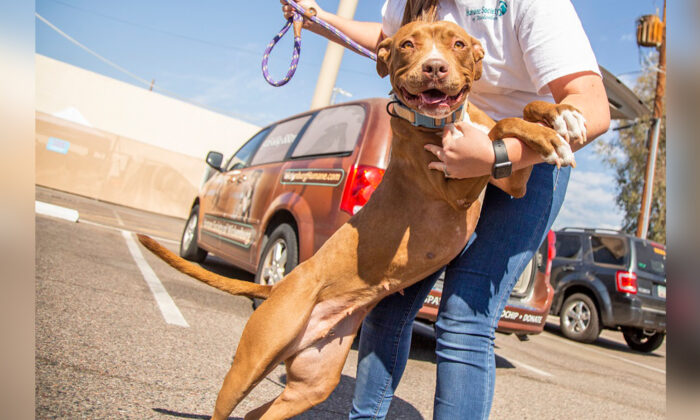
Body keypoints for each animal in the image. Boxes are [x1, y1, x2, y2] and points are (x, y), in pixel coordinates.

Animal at [139, 20, 584, 420]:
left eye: (458, 44)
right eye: (407, 44)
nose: (435, 68)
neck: (445, 121)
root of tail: (278, 287)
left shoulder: (511, 179)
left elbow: (521, 114)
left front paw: (561, 115)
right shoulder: (457, 188)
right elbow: (504, 126)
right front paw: (548, 131)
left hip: (313, 382)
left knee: (257, 413)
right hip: (252, 361)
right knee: (229, 402)